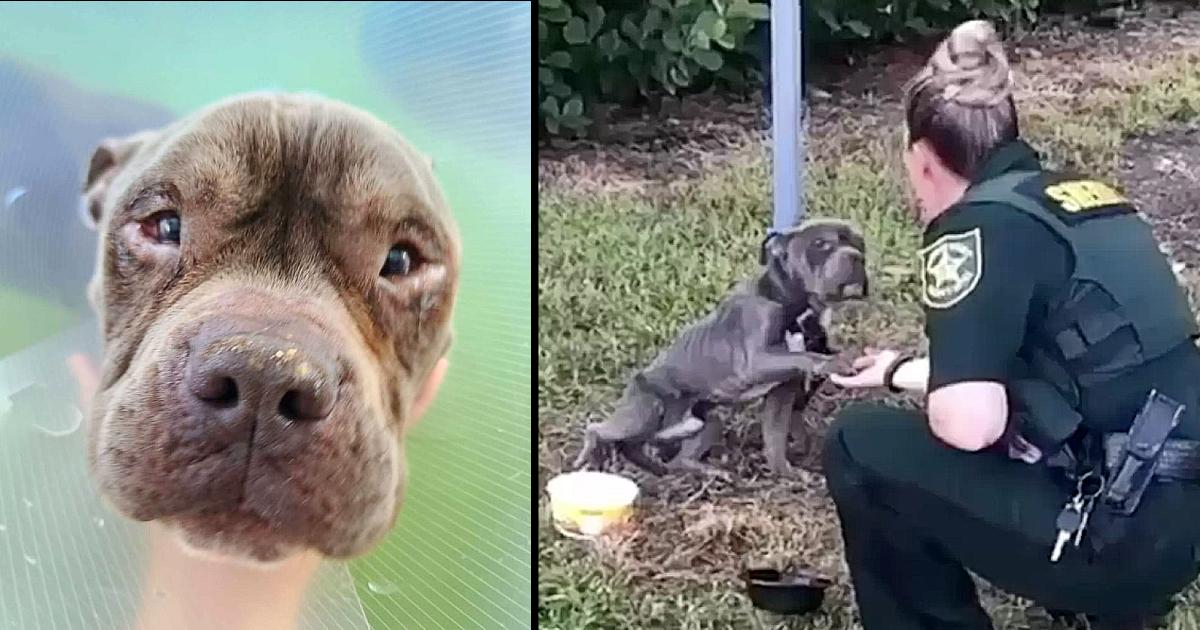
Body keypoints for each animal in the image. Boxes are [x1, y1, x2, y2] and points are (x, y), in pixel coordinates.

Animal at [573, 217, 868, 477]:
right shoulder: (756, 361)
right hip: (646, 411)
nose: (857, 256)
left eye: (859, 242)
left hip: (705, 423)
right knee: (599, 429)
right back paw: (590, 455)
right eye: (820, 244)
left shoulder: (782, 392)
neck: (796, 306)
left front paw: (788, 472)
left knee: (673, 459)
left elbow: (775, 439)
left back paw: (702, 472)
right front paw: (834, 361)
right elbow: (806, 356)